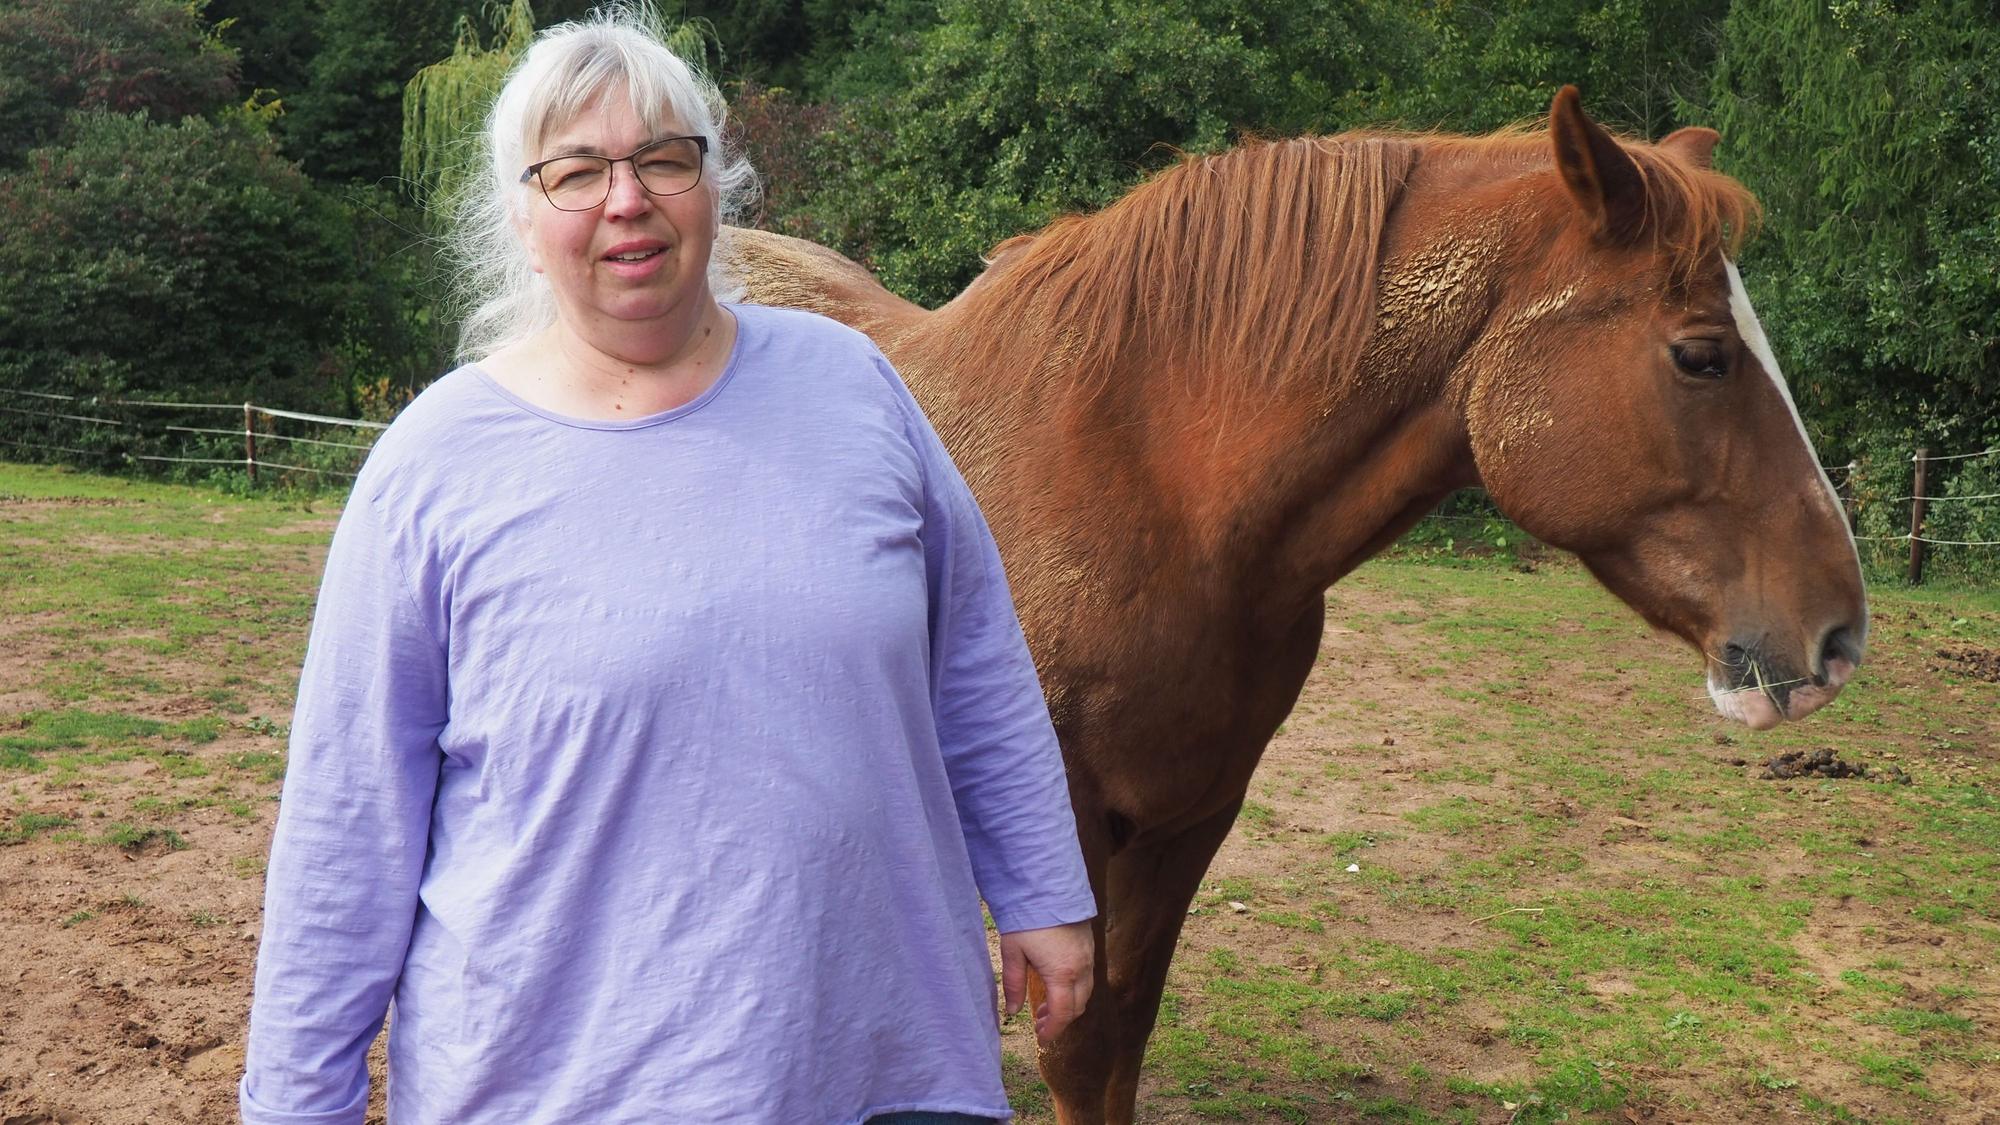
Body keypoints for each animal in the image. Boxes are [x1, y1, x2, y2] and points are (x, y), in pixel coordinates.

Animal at [721, 87, 1868, 1123]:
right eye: (1700, 355)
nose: (1839, 635)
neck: (1144, 485)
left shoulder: (1190, 815)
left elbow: (1118, 1043)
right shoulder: (1068, 826)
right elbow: (1075, 1048)